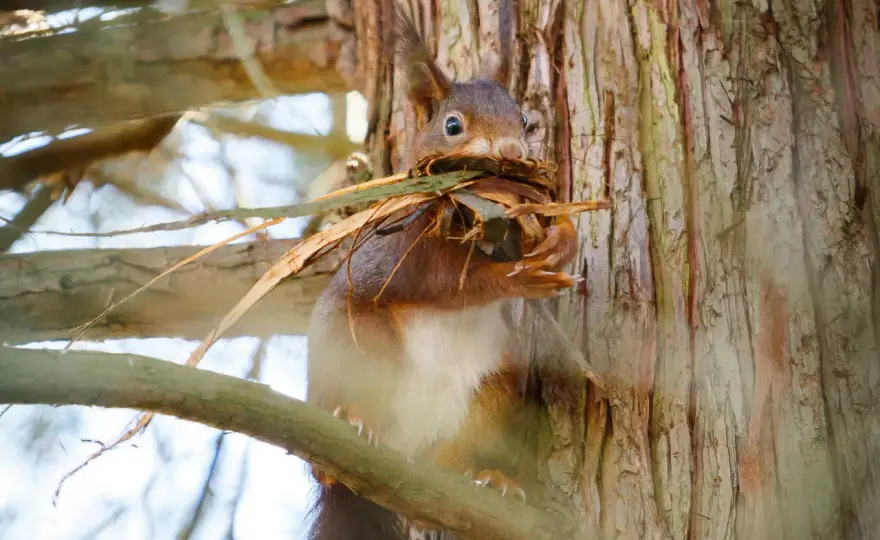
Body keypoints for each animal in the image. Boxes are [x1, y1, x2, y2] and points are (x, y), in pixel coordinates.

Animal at [305, 4, 579, 539]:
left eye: (524, 119)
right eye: (453, 126)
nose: (511, 151)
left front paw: (562, 240)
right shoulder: (402, 247)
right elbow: (446, 282)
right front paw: (515, 277)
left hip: (491, 396)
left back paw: (486, 479)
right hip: (356, 346)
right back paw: (354, 422)